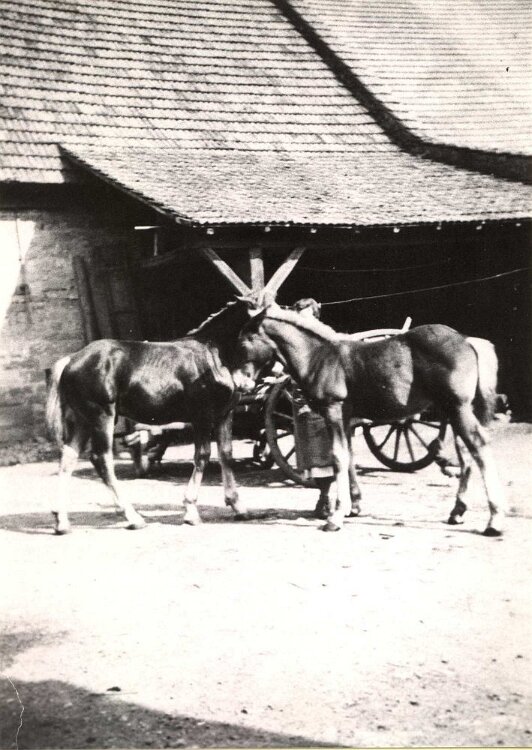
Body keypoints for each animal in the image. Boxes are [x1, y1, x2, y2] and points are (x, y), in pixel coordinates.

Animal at [45, 298, 265, 534]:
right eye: (253, 333)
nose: (245, 384)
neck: (212, 354)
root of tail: (70, 360)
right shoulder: (202, 416)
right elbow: (202, 455)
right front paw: (191, 512)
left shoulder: (224, 414)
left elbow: (226, 454)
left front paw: (237, 506)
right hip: (101, 417)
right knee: (101, 459)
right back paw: (133, 517)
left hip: (82, 420)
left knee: (68, 458)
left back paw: (62, 521)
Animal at [234, 302, 506, 536]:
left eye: (245, 341)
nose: (241, 384)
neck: (319, 356)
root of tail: (467, 339)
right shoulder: (346, 419)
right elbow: (349, 458)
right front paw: (352, 507)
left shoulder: (333, 411)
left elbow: (338, 457)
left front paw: (335, 518)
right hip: (456, 410)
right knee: (466, 452)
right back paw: (457, 511)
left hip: (457, 408)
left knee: (478, 447)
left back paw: (494, 520)